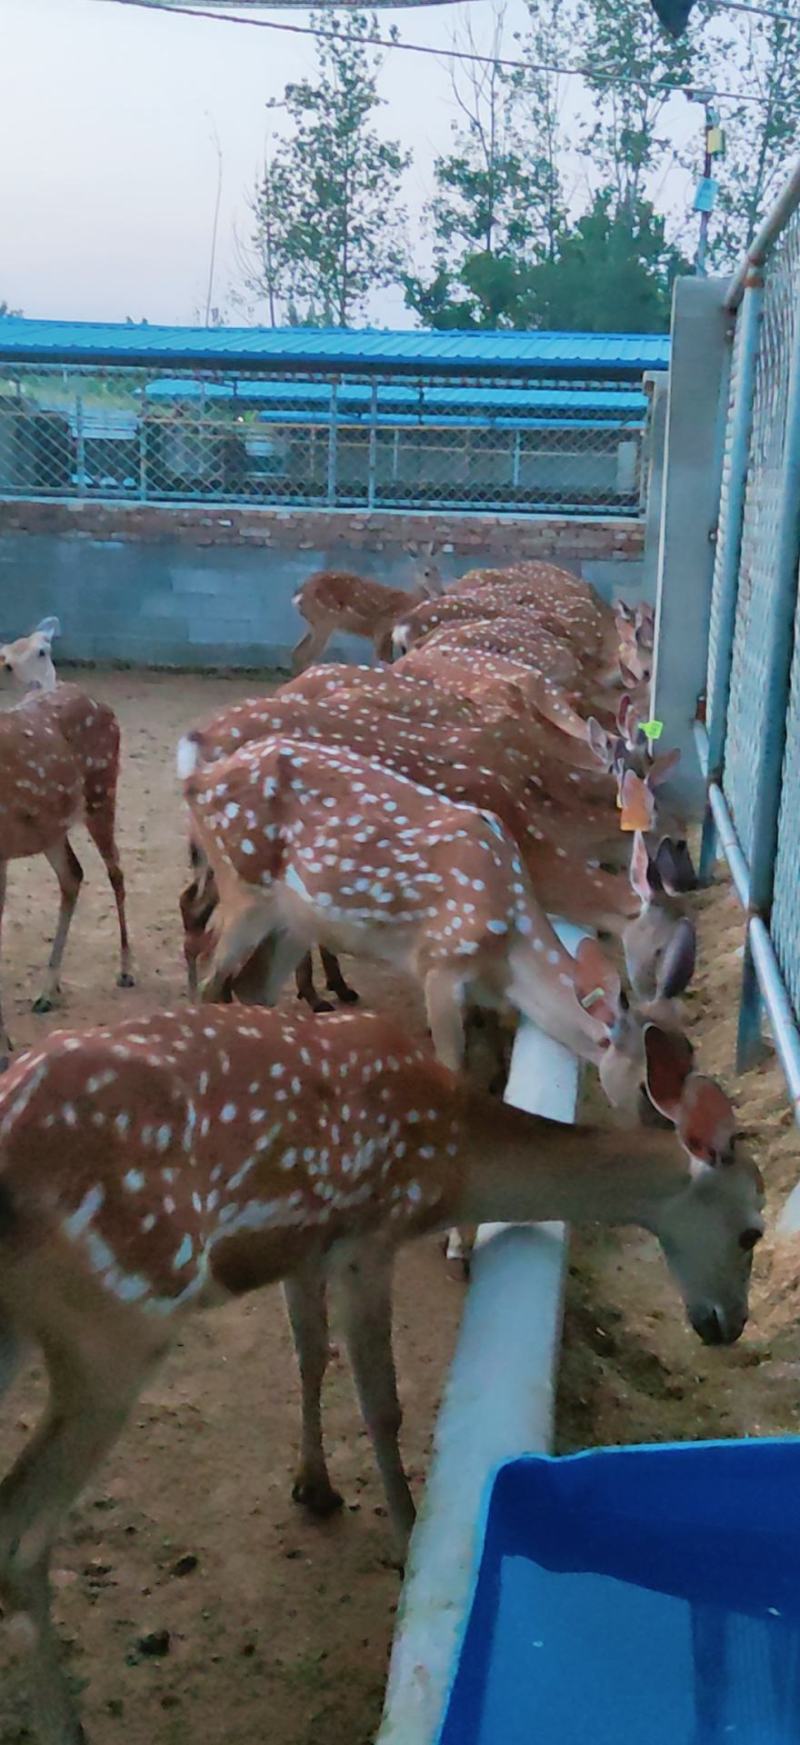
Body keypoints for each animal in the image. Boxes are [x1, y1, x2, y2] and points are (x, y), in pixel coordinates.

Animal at [0, 686, 134, 1066]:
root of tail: (103, 704)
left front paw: (4, 1047)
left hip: (102, 791)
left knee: (115, 871)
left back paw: (125, 970)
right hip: (51, 827)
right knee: (73, 874)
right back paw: (49, 990)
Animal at [0, 1006, 764, 1745]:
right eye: (752, 1231)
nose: (729, 1324)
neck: (456, 1163)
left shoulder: (306, 1246)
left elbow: (309, 1351)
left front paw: (314, 1485)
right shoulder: (370, 1234)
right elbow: (381, 1401)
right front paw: (409, 1537)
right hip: (121, 1319)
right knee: (21, 1532)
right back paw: (67, 1728)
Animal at [290, 541, 444, 672]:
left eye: (439, 569)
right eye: (426, 573)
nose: (441, 592)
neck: (409, 602)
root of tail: (298, 594)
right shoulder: (382, 629)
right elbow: (382, 660)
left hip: (314, 623)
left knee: (297, 653)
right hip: (325, 620)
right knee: (306, 655)